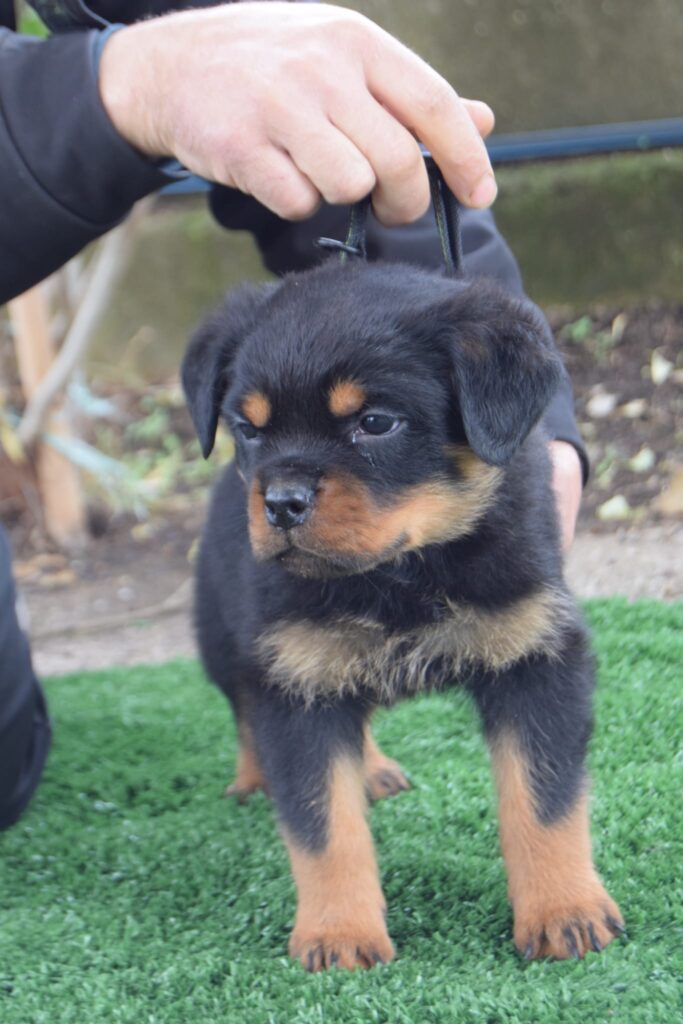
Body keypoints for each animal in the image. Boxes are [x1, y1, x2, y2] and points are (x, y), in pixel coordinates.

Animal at [181, 260, 626, 970]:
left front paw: (566, 911)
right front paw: (338, 933)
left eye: (375, 422)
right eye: (248, 429)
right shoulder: (294, 681)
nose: (280, 503)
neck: (400, 575)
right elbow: (323, 826)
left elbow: (545, 800)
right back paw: (256, 778)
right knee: (245, 712)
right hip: (228, 641)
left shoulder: (538, 656)